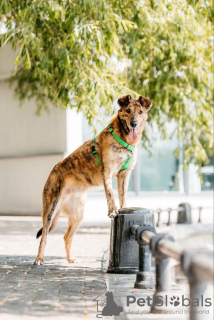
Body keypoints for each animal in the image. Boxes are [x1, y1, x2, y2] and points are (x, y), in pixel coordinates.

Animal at [33, 95, 152, 264]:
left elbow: (123, 197)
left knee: (67, 236)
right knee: (44, 236)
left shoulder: (124, 175)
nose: (134, 123)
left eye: (140, 112)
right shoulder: (107, 172)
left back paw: (70, 259)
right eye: (128, 110)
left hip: (78, 214)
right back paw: (39, 258)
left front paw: (124, 209)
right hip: (50, 209)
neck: (123, 139)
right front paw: (112, 211)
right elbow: (110, 194)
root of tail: (53, 170)